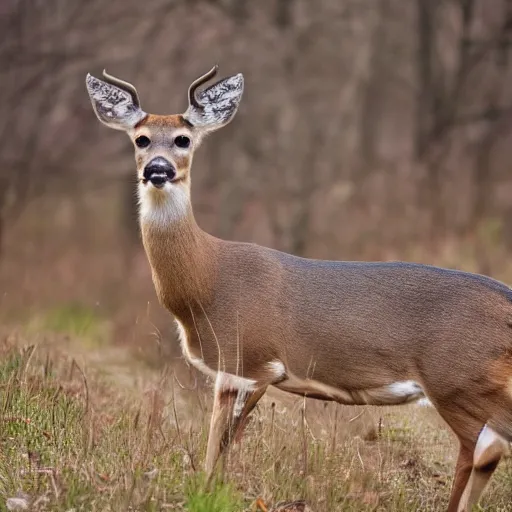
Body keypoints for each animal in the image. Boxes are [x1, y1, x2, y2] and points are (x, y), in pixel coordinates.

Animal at [87, 66, 512, 510]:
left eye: (183, 139)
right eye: (141, 138)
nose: (158, 169)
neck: (206, 282)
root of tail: (506, 298)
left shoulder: (249, 359)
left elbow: (220, 446)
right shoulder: (239, 372)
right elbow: (217, 447)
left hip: (459, 379)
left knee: (483, 446)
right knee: (488, 448)